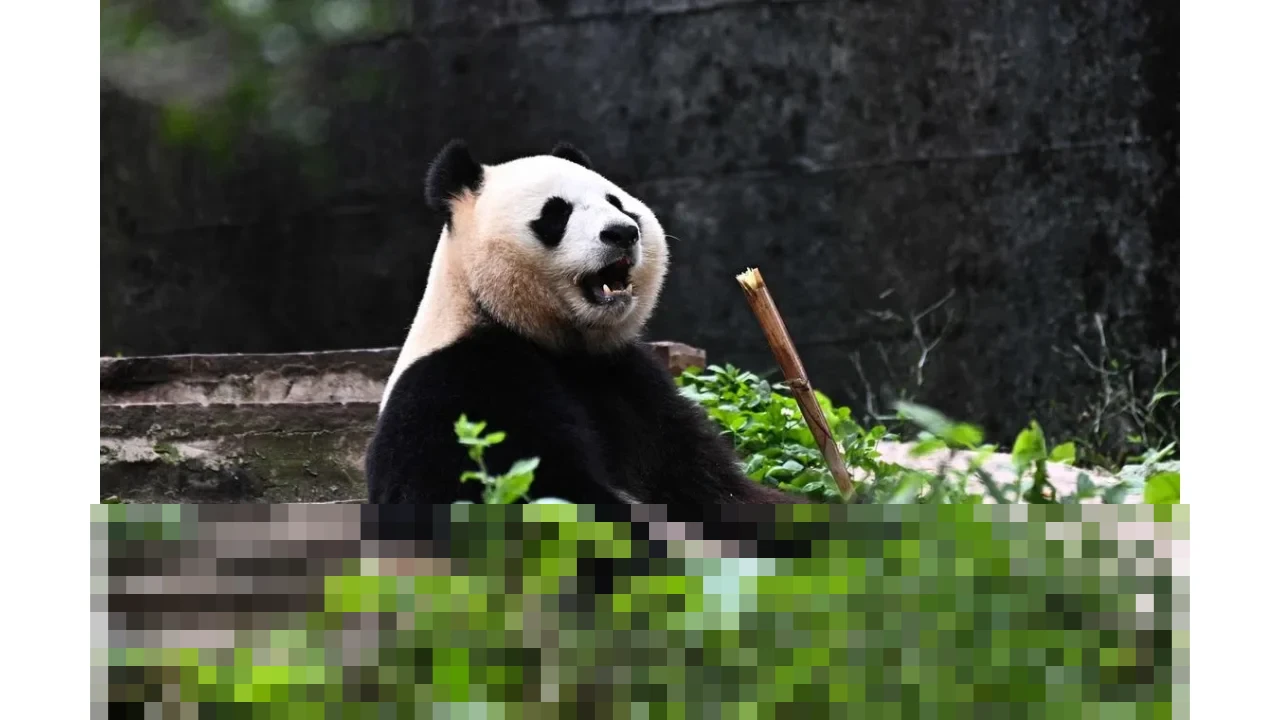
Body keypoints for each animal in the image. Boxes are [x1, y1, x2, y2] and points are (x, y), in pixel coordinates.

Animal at [365, 139, 808, 505]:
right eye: (556, 213)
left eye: (619, 204)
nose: (622, 232)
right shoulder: (463, 383)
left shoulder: (632, 382)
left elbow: (712, 486)